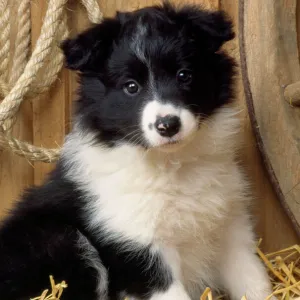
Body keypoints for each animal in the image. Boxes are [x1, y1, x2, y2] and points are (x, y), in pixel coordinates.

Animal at [0, 2, 274, 300]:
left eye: (184, 75)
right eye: (131, 86)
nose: (168, 125)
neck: (172, 164)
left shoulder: (231, 226)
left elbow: (254, 280)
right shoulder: (139, 246)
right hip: (63, 240)